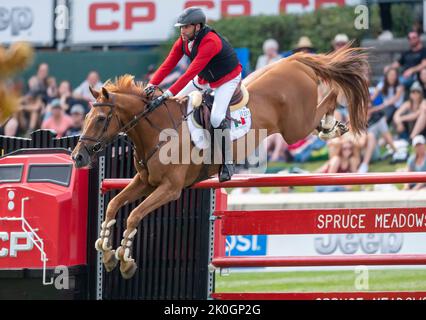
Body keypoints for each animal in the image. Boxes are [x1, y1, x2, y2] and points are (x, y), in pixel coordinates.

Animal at [70, 46, 370, 278]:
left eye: (100, 119)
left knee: (331, 97)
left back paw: (332, 125)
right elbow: (113, 205)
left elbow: (134, 214)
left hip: (295, 127)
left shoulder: (170, 188)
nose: (77, 156)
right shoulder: (145, 182)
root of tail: (294, 60)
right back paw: (330, 125)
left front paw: (124, 260)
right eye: (85, 118)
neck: (158, 130)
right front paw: (107, 253)